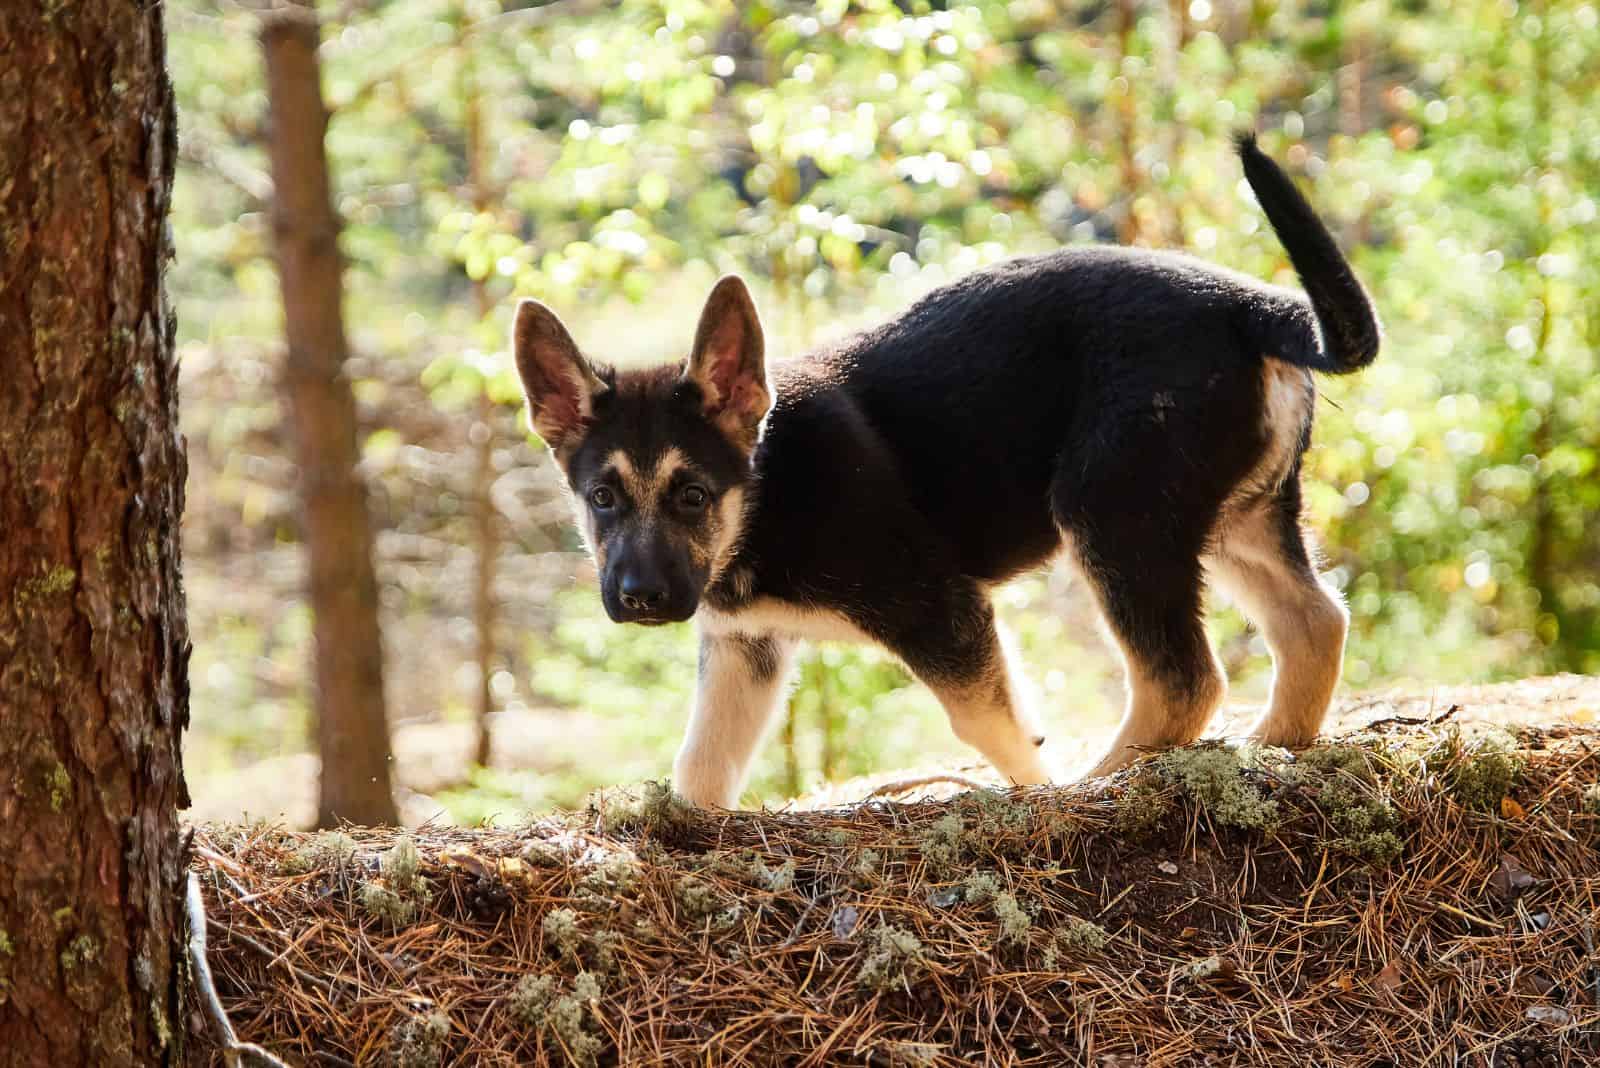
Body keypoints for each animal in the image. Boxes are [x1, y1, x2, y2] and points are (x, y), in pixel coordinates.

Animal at [512, 137, 1376, 805]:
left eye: (692, 494)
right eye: (602, 498)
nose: (640, 600)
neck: (763, 493)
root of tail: (1245, 304)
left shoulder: (941, 612)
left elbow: (994, 728)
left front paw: (1036, 796)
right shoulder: (743, 649)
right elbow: (703, 765)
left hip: (1114, 514)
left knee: (1183, 680)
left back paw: (1100, 784)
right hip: (1236, 518)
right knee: (1314, 623)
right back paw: (1277, 747)